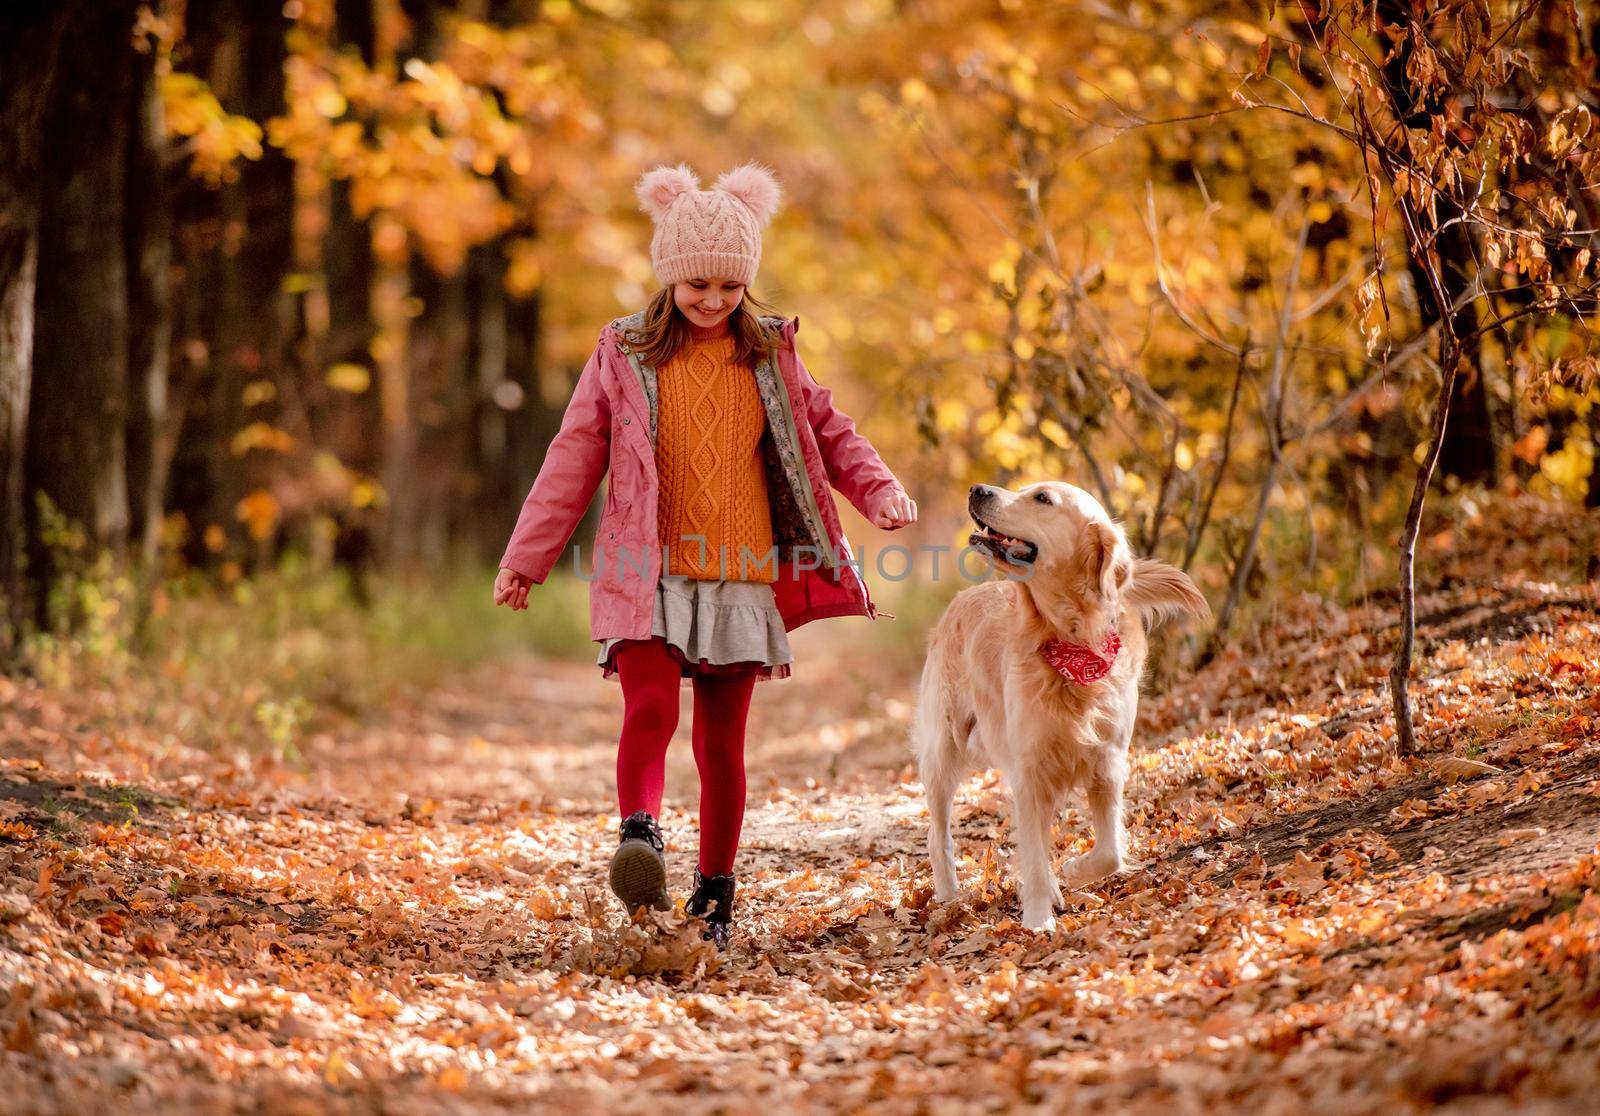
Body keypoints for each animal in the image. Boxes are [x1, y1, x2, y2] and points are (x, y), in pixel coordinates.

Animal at [908, 482, 1203, 927]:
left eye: (1042, 498)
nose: (978, 489)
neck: (1070, 640)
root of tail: (963, 598)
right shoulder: (1030, 770)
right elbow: (1032, 855)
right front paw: (1037, 921)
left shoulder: (1107, 761)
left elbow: (1109, 851)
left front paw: (1075, 871)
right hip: (944, 746)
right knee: (937, 833)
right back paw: (948, 895)